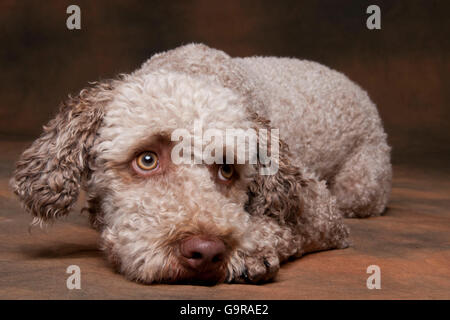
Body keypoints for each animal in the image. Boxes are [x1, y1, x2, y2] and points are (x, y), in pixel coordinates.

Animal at [10, 43, 390, 284]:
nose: (206, 253)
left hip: (360, 186)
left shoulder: (322, 212)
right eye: (147, 159)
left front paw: (253, 250)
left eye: (227, 169)